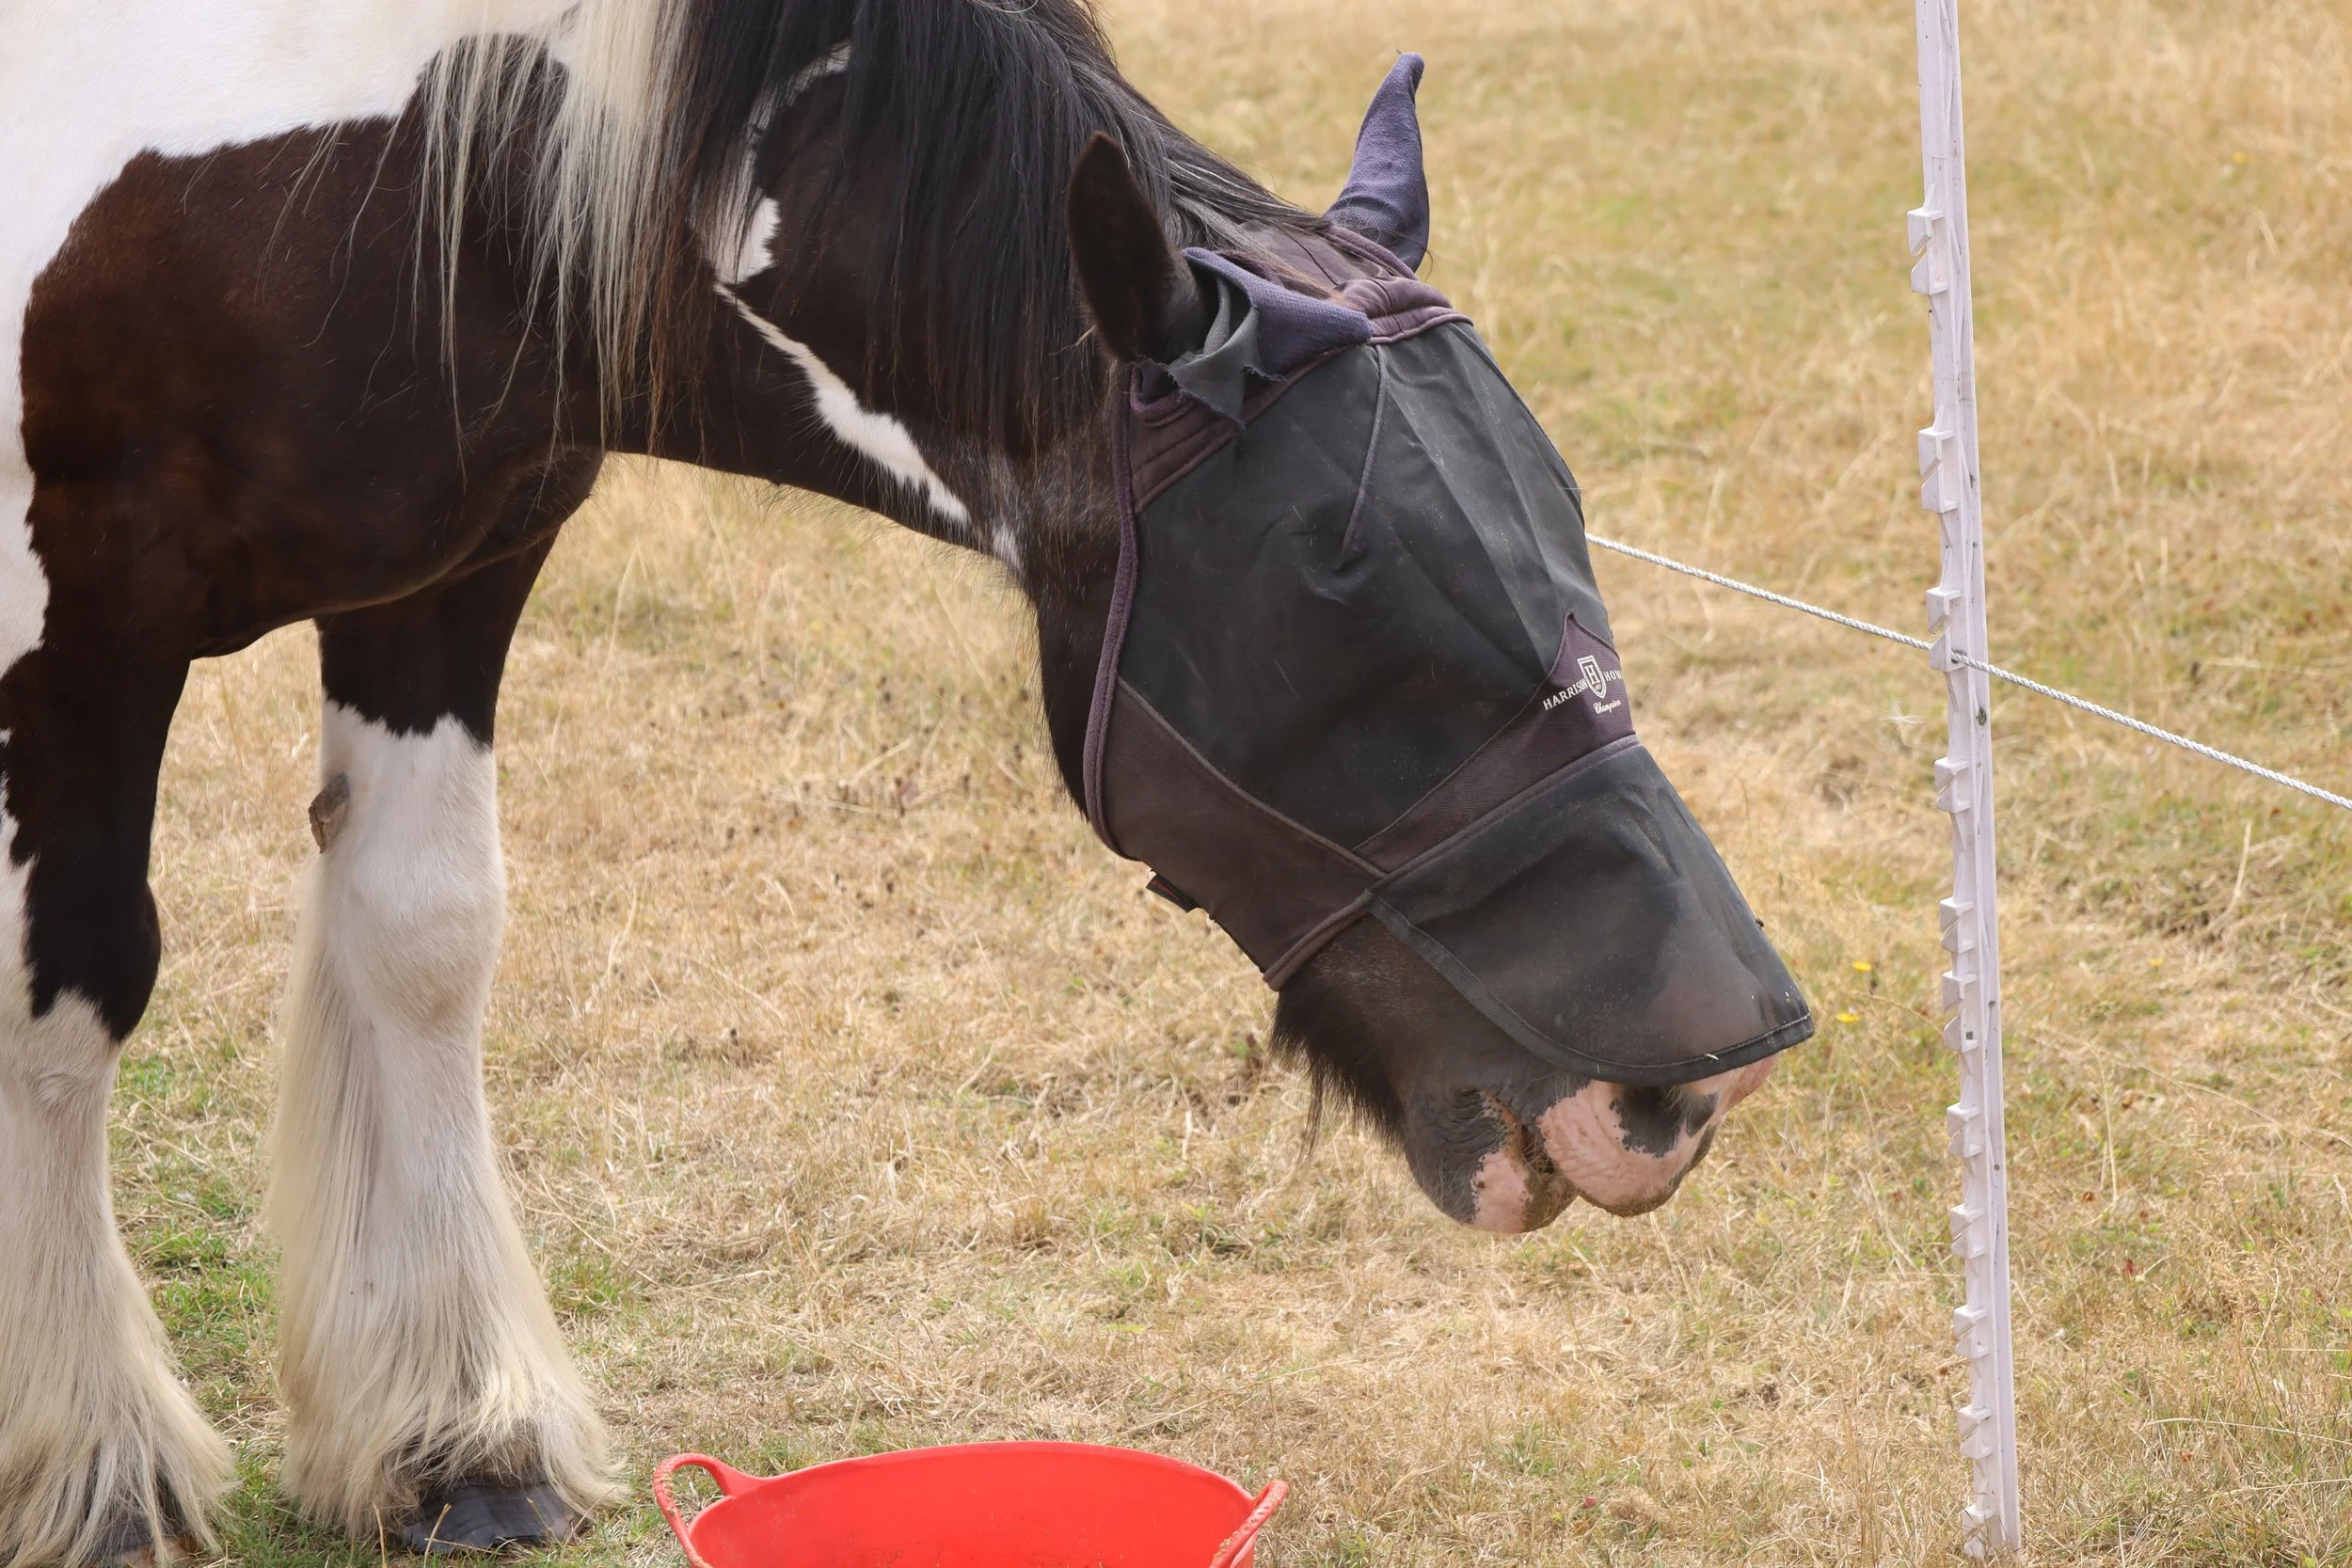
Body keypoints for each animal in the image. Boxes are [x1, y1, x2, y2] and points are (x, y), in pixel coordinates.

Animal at [0, 1, 1812, 1560]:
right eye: (1333, 587)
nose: (1687, 1088)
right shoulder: (69, 639)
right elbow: (62, 1000)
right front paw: (96, 1468)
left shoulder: (451, 569)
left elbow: (421, 939)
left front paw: (457, 1438)